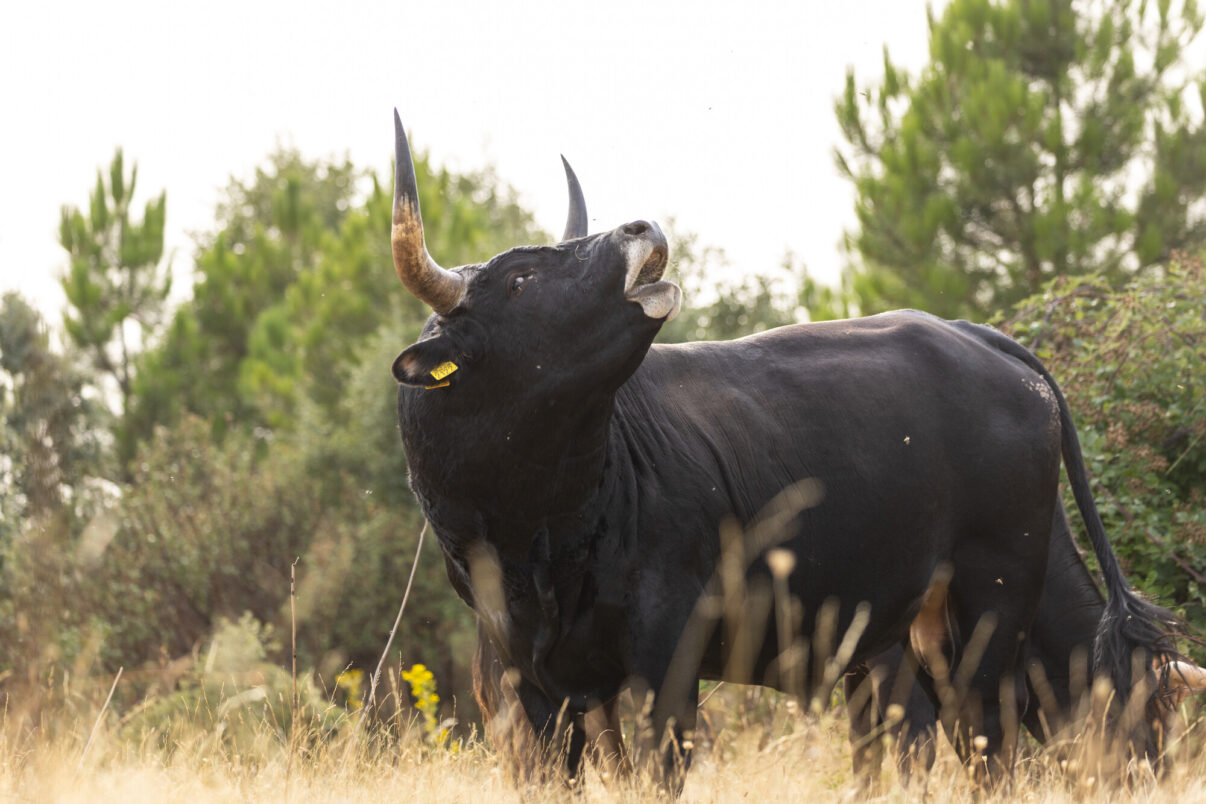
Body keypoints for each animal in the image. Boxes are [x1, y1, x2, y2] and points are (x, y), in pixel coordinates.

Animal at [386, 110, 1185, 789]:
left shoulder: (667, 666)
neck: (543, 534)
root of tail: (975, 337)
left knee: (988, 739)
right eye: (520, 278)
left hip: (985, 616)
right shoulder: (527, 685)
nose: (640, 227)